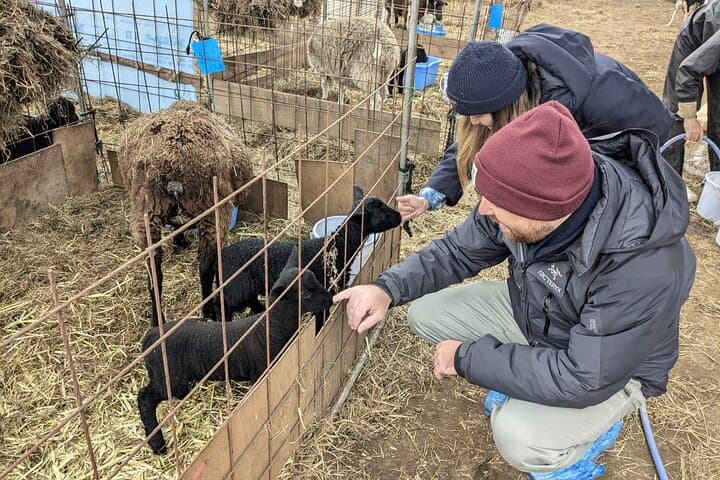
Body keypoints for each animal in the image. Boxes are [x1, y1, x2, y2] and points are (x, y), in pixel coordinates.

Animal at [117, 100, 253, 327]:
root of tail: (175, 168)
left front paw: (179, 241)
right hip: (211, 212)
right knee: (205, 268)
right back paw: (207, 310)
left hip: (147, 215)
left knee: (155, 274)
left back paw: (157, 321)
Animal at [137, 251, 333, 455]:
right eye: (305, 293)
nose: (330, 298)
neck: (270, 328)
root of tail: (151, 335)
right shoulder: (259, 375)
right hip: (169, 380)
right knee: (144, 398)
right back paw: (157, 444)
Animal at [217, 186, 401, 331]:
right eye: (380, 212)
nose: (399, 216)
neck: (336, 248)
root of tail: (224, 252)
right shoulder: (320, 296)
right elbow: (321, 321)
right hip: (234, 291)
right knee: (223, 309)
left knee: (252, 301)